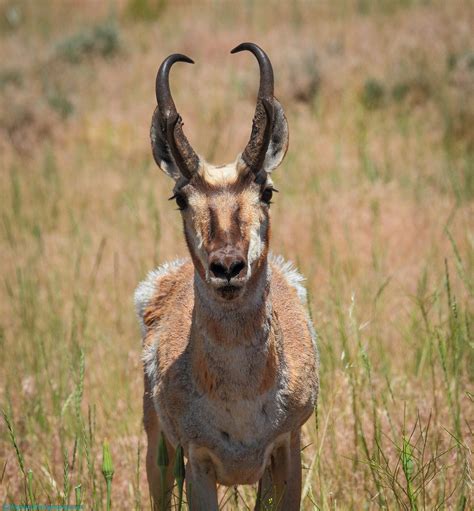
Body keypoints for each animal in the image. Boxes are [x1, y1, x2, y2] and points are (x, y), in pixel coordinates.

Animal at [135, 42, 320, 510]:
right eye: (180, 197)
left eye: (267, 189)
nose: (227, 267)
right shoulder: (198, 462)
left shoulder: (285, 451)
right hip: (158, 453)